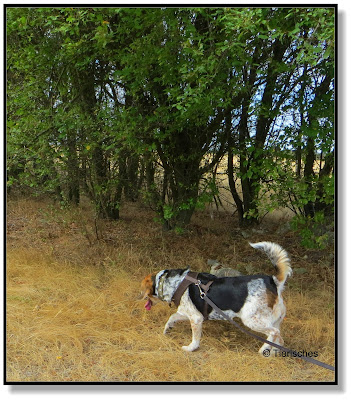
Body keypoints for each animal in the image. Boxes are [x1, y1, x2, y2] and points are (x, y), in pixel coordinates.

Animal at [140, 242, 292, 354]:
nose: (138, 296)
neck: (174, 282)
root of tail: (273, 281)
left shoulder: (196, 319)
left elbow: (195, 339)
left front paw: (190, 348)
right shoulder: (188, 313)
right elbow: (172, 317)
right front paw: (167, 329)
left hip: (251, 320)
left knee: (274, 333)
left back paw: (263, 349)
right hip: (273, 320)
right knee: (279, 339)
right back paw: (272, 352)